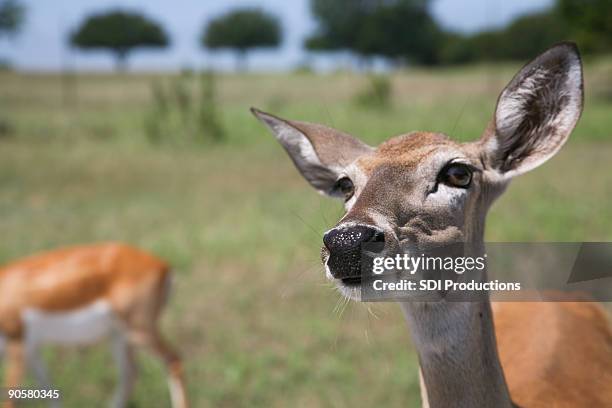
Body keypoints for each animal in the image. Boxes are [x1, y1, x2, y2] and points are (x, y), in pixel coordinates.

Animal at [0, 242, 188, 408]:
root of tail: (163, 265)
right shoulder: (32, 351)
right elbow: (49, 390)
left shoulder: (17, 344)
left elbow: (11, 399)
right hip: (118, 335)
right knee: (130, 374)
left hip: (138, 331)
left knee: (173, 361)